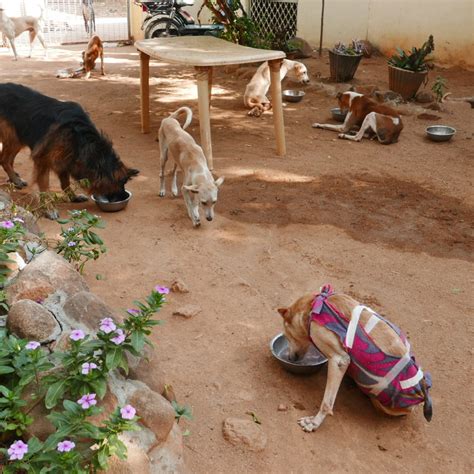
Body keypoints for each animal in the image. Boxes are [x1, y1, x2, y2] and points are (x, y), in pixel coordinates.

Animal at [0, 83, 138, 218]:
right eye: (122, 183)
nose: (123, 198)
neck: (81, 139)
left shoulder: (66, 157)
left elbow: (65, 182)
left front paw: (73, 197)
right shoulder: (43, 160)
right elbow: (45, 187)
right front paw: (49, 208)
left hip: (17, 138)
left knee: (8, 160)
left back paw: (15, 180)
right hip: (14, 138)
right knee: (4, 159)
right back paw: (15, 179)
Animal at [278, 284, 434, 432]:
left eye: (287, 335)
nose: (290, 358)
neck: (313, 305)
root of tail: (422, 390)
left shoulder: (339, 360)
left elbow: (327, 402)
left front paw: (314, 422)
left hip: (381, 402)